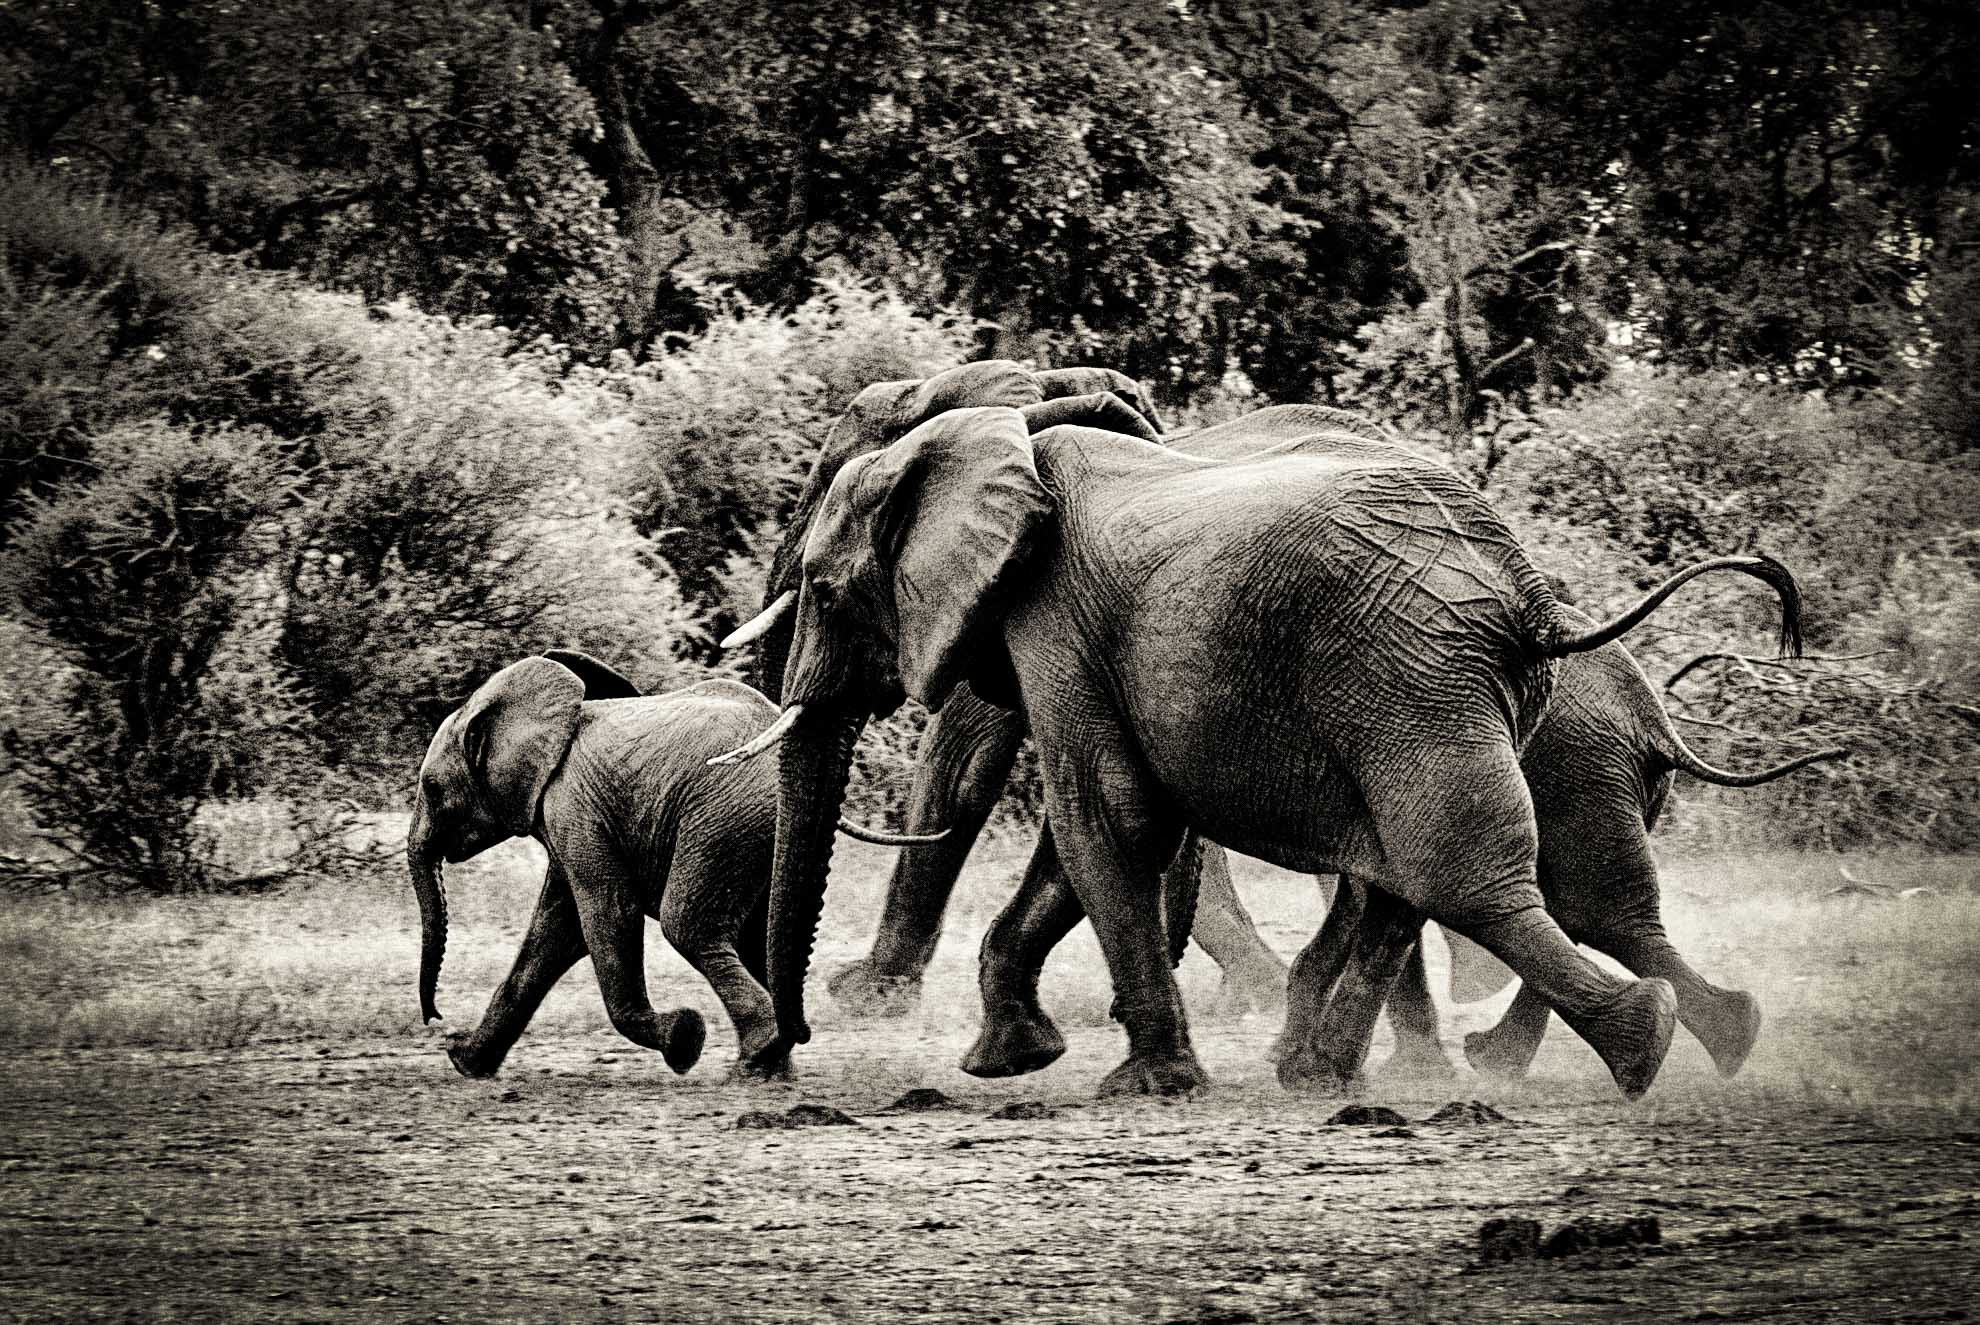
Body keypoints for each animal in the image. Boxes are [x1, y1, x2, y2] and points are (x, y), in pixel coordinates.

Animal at [405, 650, 940, 1079]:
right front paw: (466, 1062)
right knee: (755, 936)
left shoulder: (573, 806)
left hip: (723, 819)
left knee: (687, 925)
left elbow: (605, 914)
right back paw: (773, 1065)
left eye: (431, 788)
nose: (436, 1019)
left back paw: (752, 1061)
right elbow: (555, 933)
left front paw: (684, 1040)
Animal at [713, 404, 1783, 1099]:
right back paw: (1325, 1074)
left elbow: (1105, 815)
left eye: (821, 588)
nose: (774, 1055)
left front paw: (1143, 1084)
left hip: (1409, 678)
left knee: (1471, 878)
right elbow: (1095, 823)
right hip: (1451, 692)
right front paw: (1008, 1060)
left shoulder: (1050, 615)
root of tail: (1528, 595)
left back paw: (1637, 1045)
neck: (993, 433)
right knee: (1417, 879)